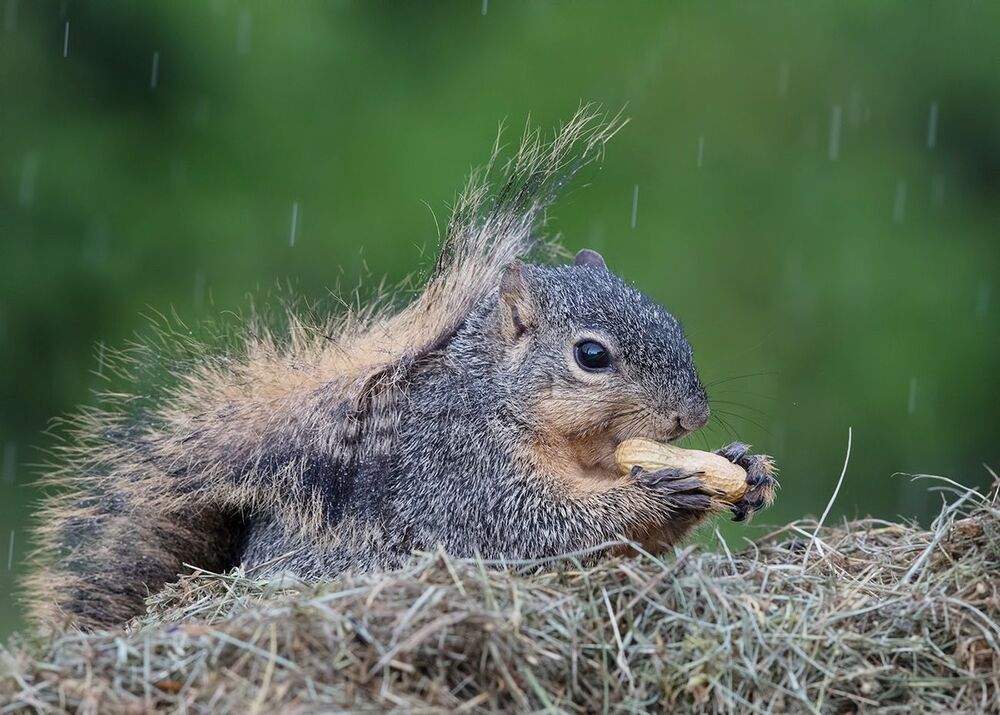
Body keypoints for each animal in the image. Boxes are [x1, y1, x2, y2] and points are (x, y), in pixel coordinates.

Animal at [24, 109, 776, 631]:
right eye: (591, 355)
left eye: (671, 318)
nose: (693, 416)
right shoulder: (456, 469)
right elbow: (537, 526)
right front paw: (657, 493)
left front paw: (747, 467)